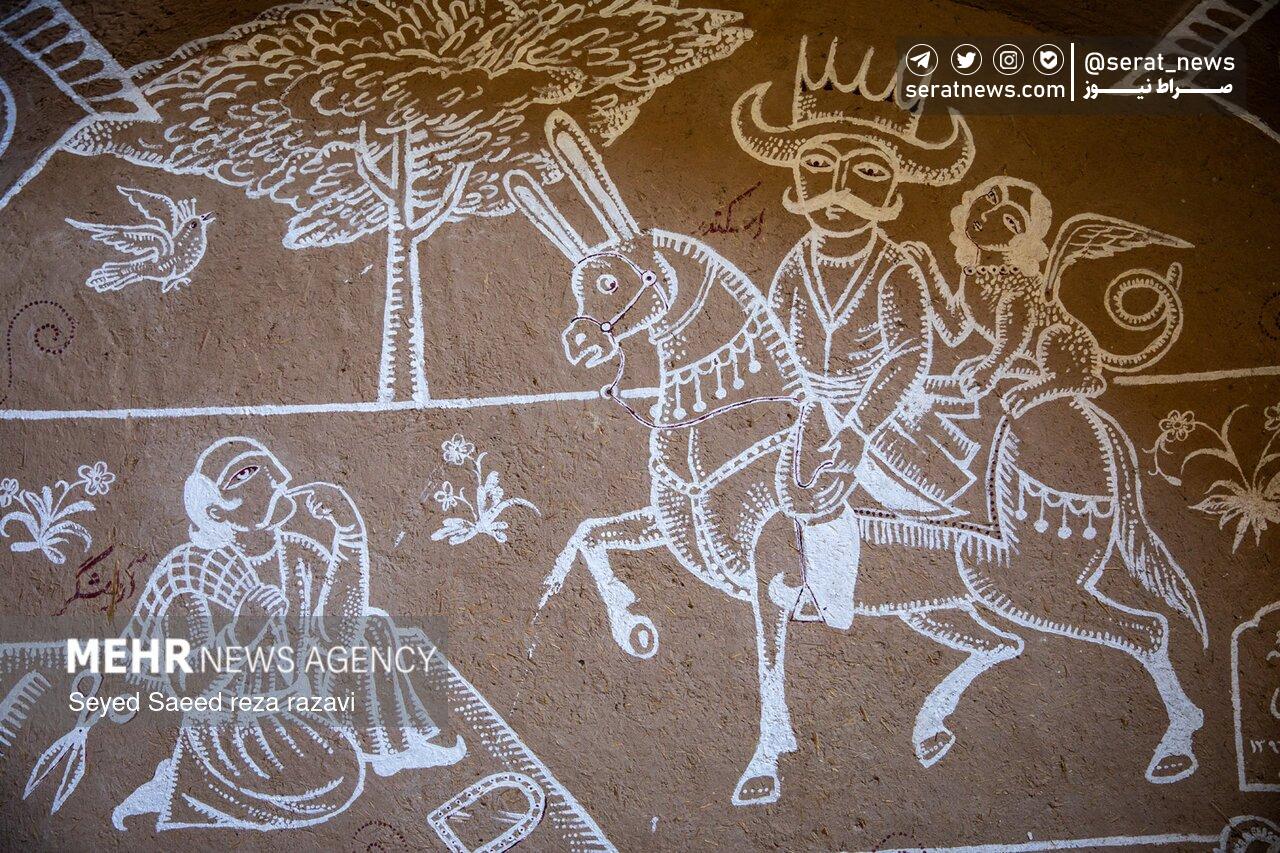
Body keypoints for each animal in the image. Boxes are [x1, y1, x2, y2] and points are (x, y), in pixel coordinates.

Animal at [506, 110, 1208, 806]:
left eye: (611, 281)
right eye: (581, 283)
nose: (577, 344)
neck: (725, 421)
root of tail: (1096, 426)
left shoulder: (773, 576)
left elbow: (766, 665)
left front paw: (762, 769)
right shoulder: (683, 530)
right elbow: (587, 535)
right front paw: (631, 628)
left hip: (1026, 585)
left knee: (1143, 632)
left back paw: (1175, 749)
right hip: (943, 599)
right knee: (1002, 644)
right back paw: (932, 732)